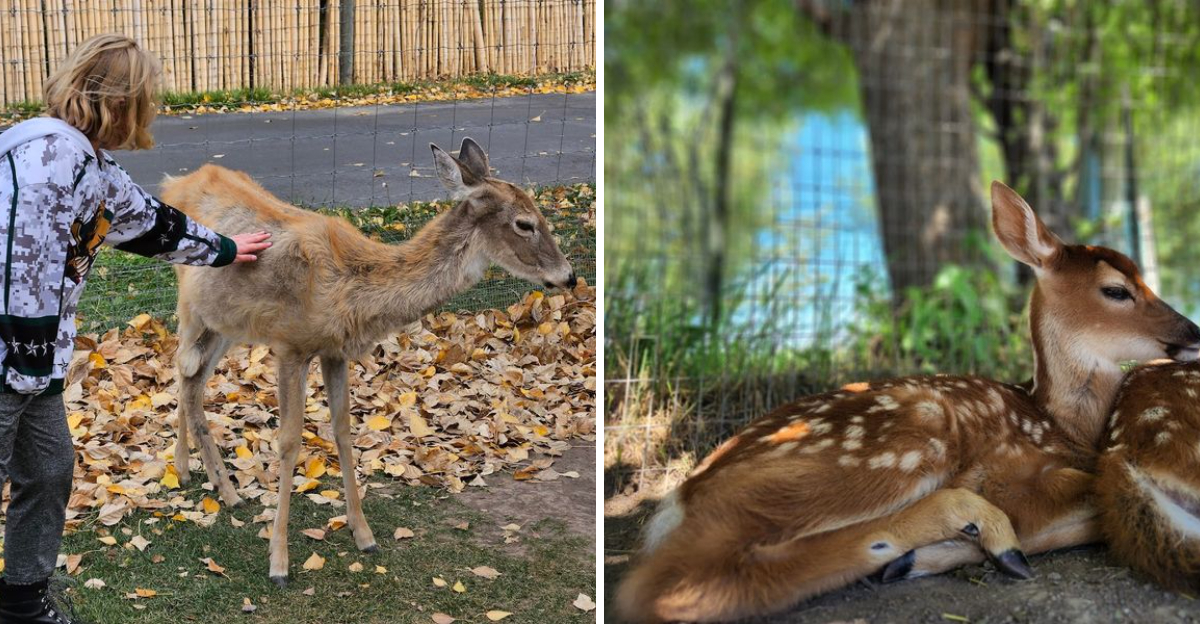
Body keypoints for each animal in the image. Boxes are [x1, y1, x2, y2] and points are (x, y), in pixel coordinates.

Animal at [160, 137, 576, 585]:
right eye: (524, 223)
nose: (569, 276)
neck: (350, 286)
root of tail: (173, 183)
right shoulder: (290, 345)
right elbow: (288, 441)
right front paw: (279, 562)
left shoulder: (334, 351)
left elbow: (343, 431)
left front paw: (364, 535)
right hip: (190, 305)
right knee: (182, 368)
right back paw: (198, 475)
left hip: (227, 323)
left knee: (193, 378)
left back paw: (217, 485)